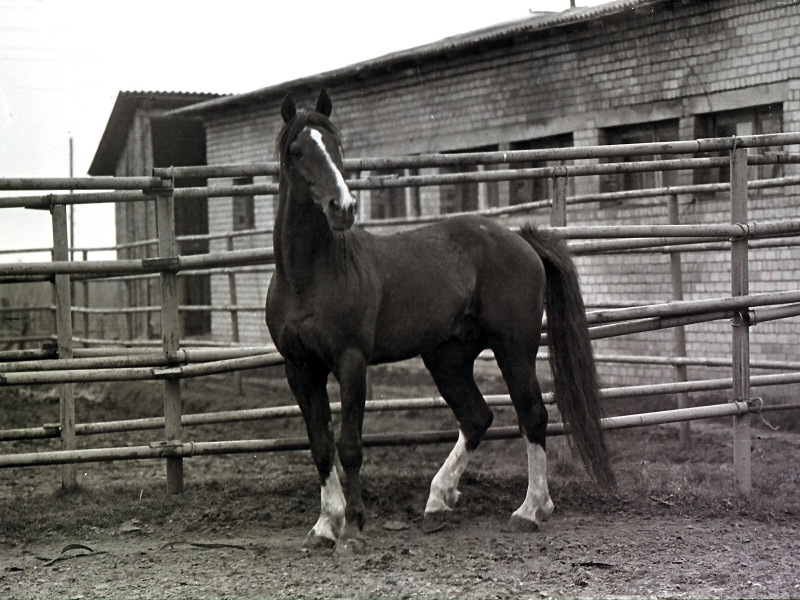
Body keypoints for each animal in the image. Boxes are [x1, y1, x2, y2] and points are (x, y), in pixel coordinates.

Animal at [266, 90, 616, 552]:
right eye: (296, 150)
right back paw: (438, 502)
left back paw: (530, 511)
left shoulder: (351, 361)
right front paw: (326, 525)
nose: (343, 208)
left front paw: (355, 525)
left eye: (338, 146)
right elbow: (320, 446)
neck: (309, 278)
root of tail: (521, 240)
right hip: (447, 358)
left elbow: (349, 444)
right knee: (476, 417)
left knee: (532, 415)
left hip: (514, 347)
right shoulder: (300, 368)